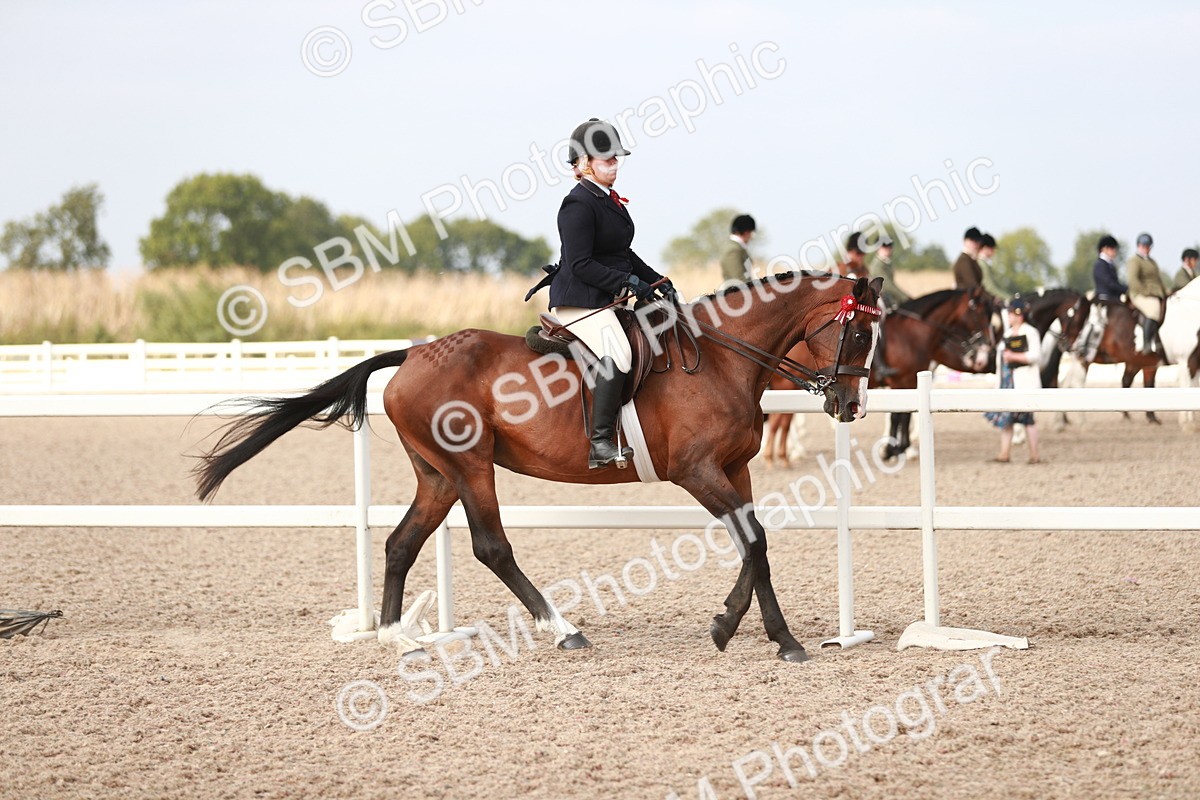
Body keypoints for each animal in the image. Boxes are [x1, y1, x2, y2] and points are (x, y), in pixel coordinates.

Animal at [194, 273, 885, 663]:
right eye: (858, 335)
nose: (850, 406)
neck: (719, 358)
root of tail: (415, 353)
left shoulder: (735, 470)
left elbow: (755, 543)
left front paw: (757, 632)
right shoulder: (696, 472)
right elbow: (754, 540)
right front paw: (750, 632)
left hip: (437, 475)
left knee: (401, 543)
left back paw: (397, 637)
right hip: (470, 466)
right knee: (490, 546)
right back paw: (562, 630)